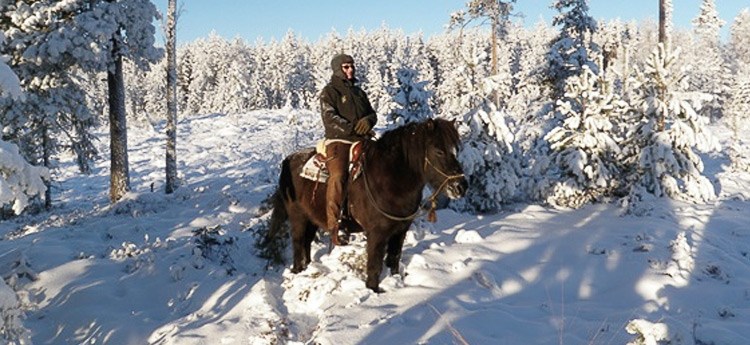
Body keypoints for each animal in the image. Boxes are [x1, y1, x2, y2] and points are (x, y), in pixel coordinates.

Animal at [266, 118, 464, 290]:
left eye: (456, 149)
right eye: (439, 151)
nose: (461, 187)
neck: (390, 178)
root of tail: (288, 160)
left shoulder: (400, 231)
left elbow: (394, 260)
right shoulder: (377, 234)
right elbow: (374, 266)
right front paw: (374, 291)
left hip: (312, 219)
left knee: (306, 244)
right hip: (298, 217)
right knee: (298, 245)